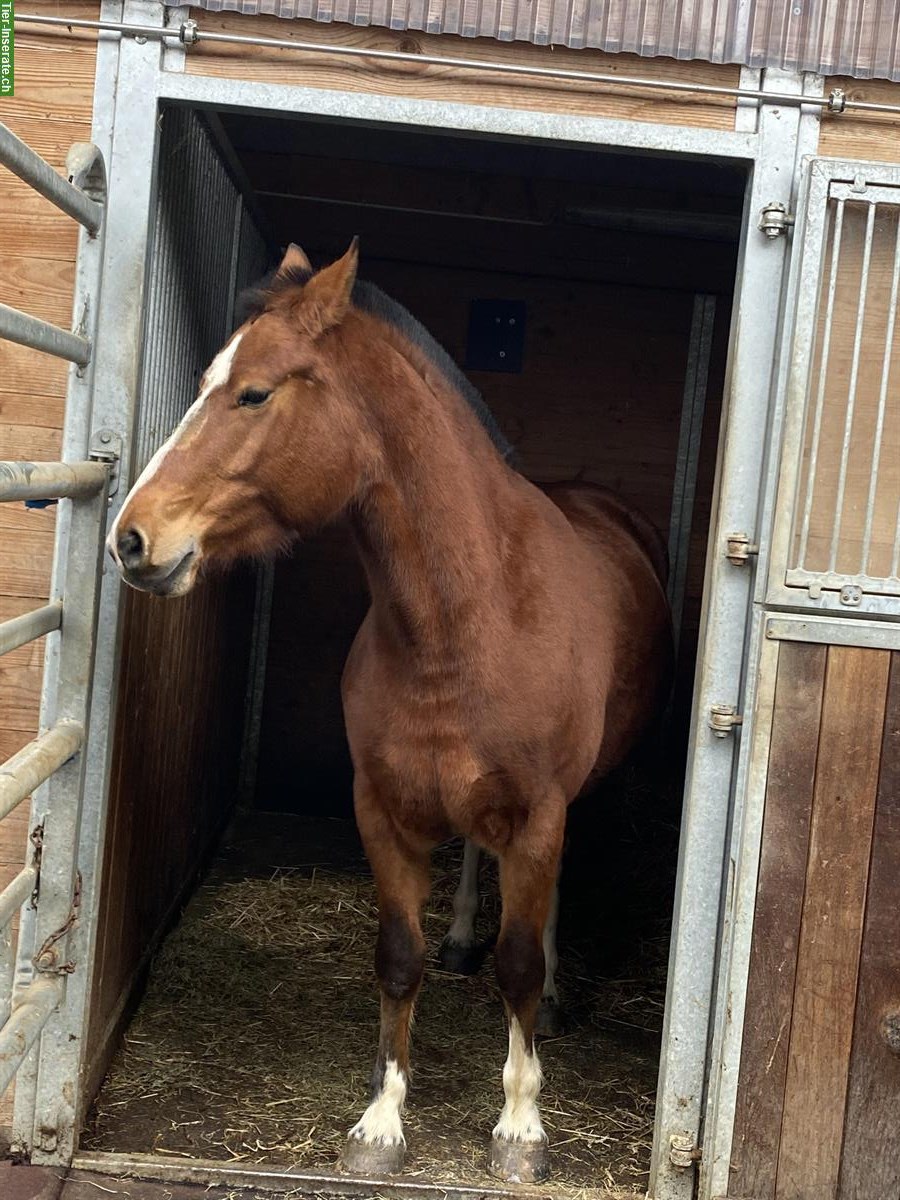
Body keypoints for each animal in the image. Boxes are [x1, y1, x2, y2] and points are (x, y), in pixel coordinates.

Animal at [109, 241, 672, 1180]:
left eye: (254, 393)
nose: (131, 538)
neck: (469, 615)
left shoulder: (540, 812)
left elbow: (519, 965)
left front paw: (521, 1128)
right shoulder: (383, 810)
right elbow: (398, 959)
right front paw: (381, 1122)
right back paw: (463, 937)